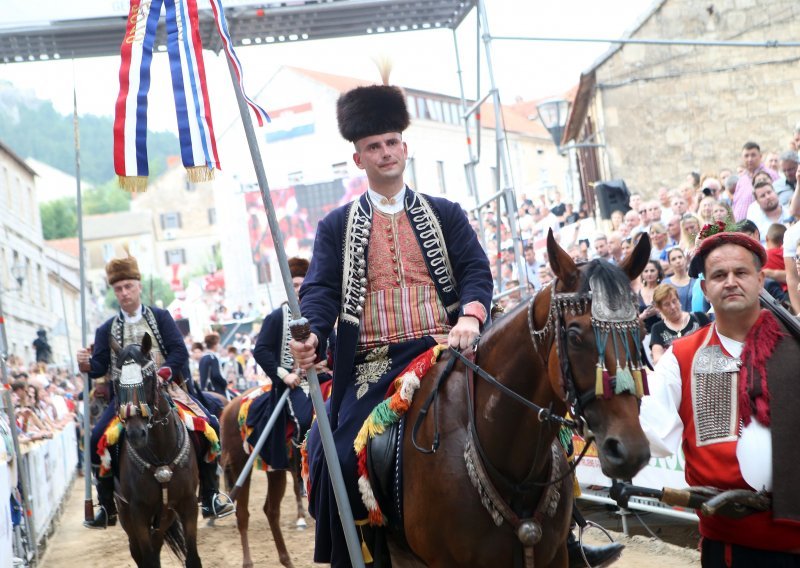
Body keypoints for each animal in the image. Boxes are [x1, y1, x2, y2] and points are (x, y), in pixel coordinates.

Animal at [111, 332, 202, 568]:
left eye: (149, 378)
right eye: (116, 382)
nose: (136, 433)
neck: (161, 453)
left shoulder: (188, 503)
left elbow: (192, 558)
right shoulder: (138, 512)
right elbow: (148, 559)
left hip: (165, 515)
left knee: (158, 543)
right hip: (127, 515)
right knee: (139, 552)